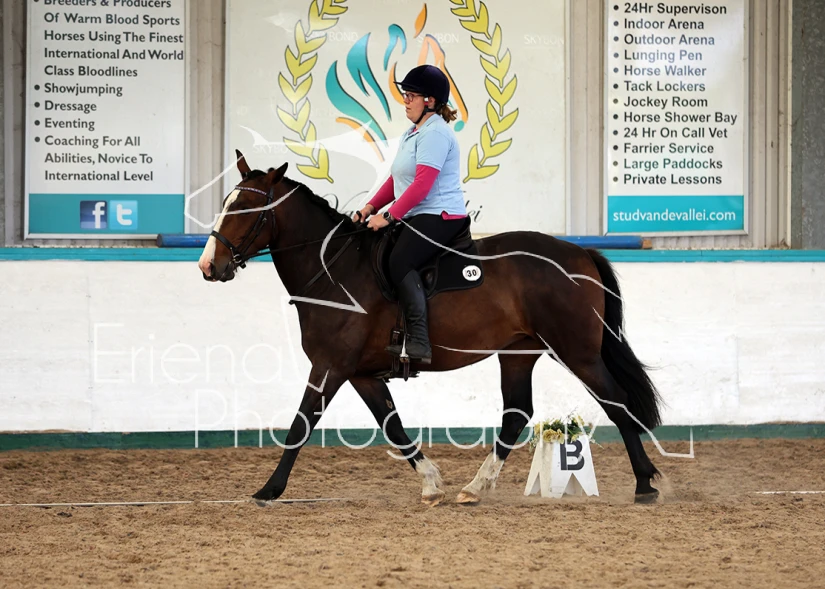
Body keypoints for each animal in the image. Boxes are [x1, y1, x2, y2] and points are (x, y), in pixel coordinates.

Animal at [197, 150, 664, 506]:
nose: (208, 266)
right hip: (519, 352)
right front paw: (432, 483)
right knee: (517, 413)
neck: (334, 270)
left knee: (617, 403)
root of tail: (580, 253)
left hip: (577, 352)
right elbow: (393, 426)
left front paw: (269, 490)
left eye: (246, 209)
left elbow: (300, 424)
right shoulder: (362, 374)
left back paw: (644, 483)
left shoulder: (330, 366)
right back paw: (475, 487)